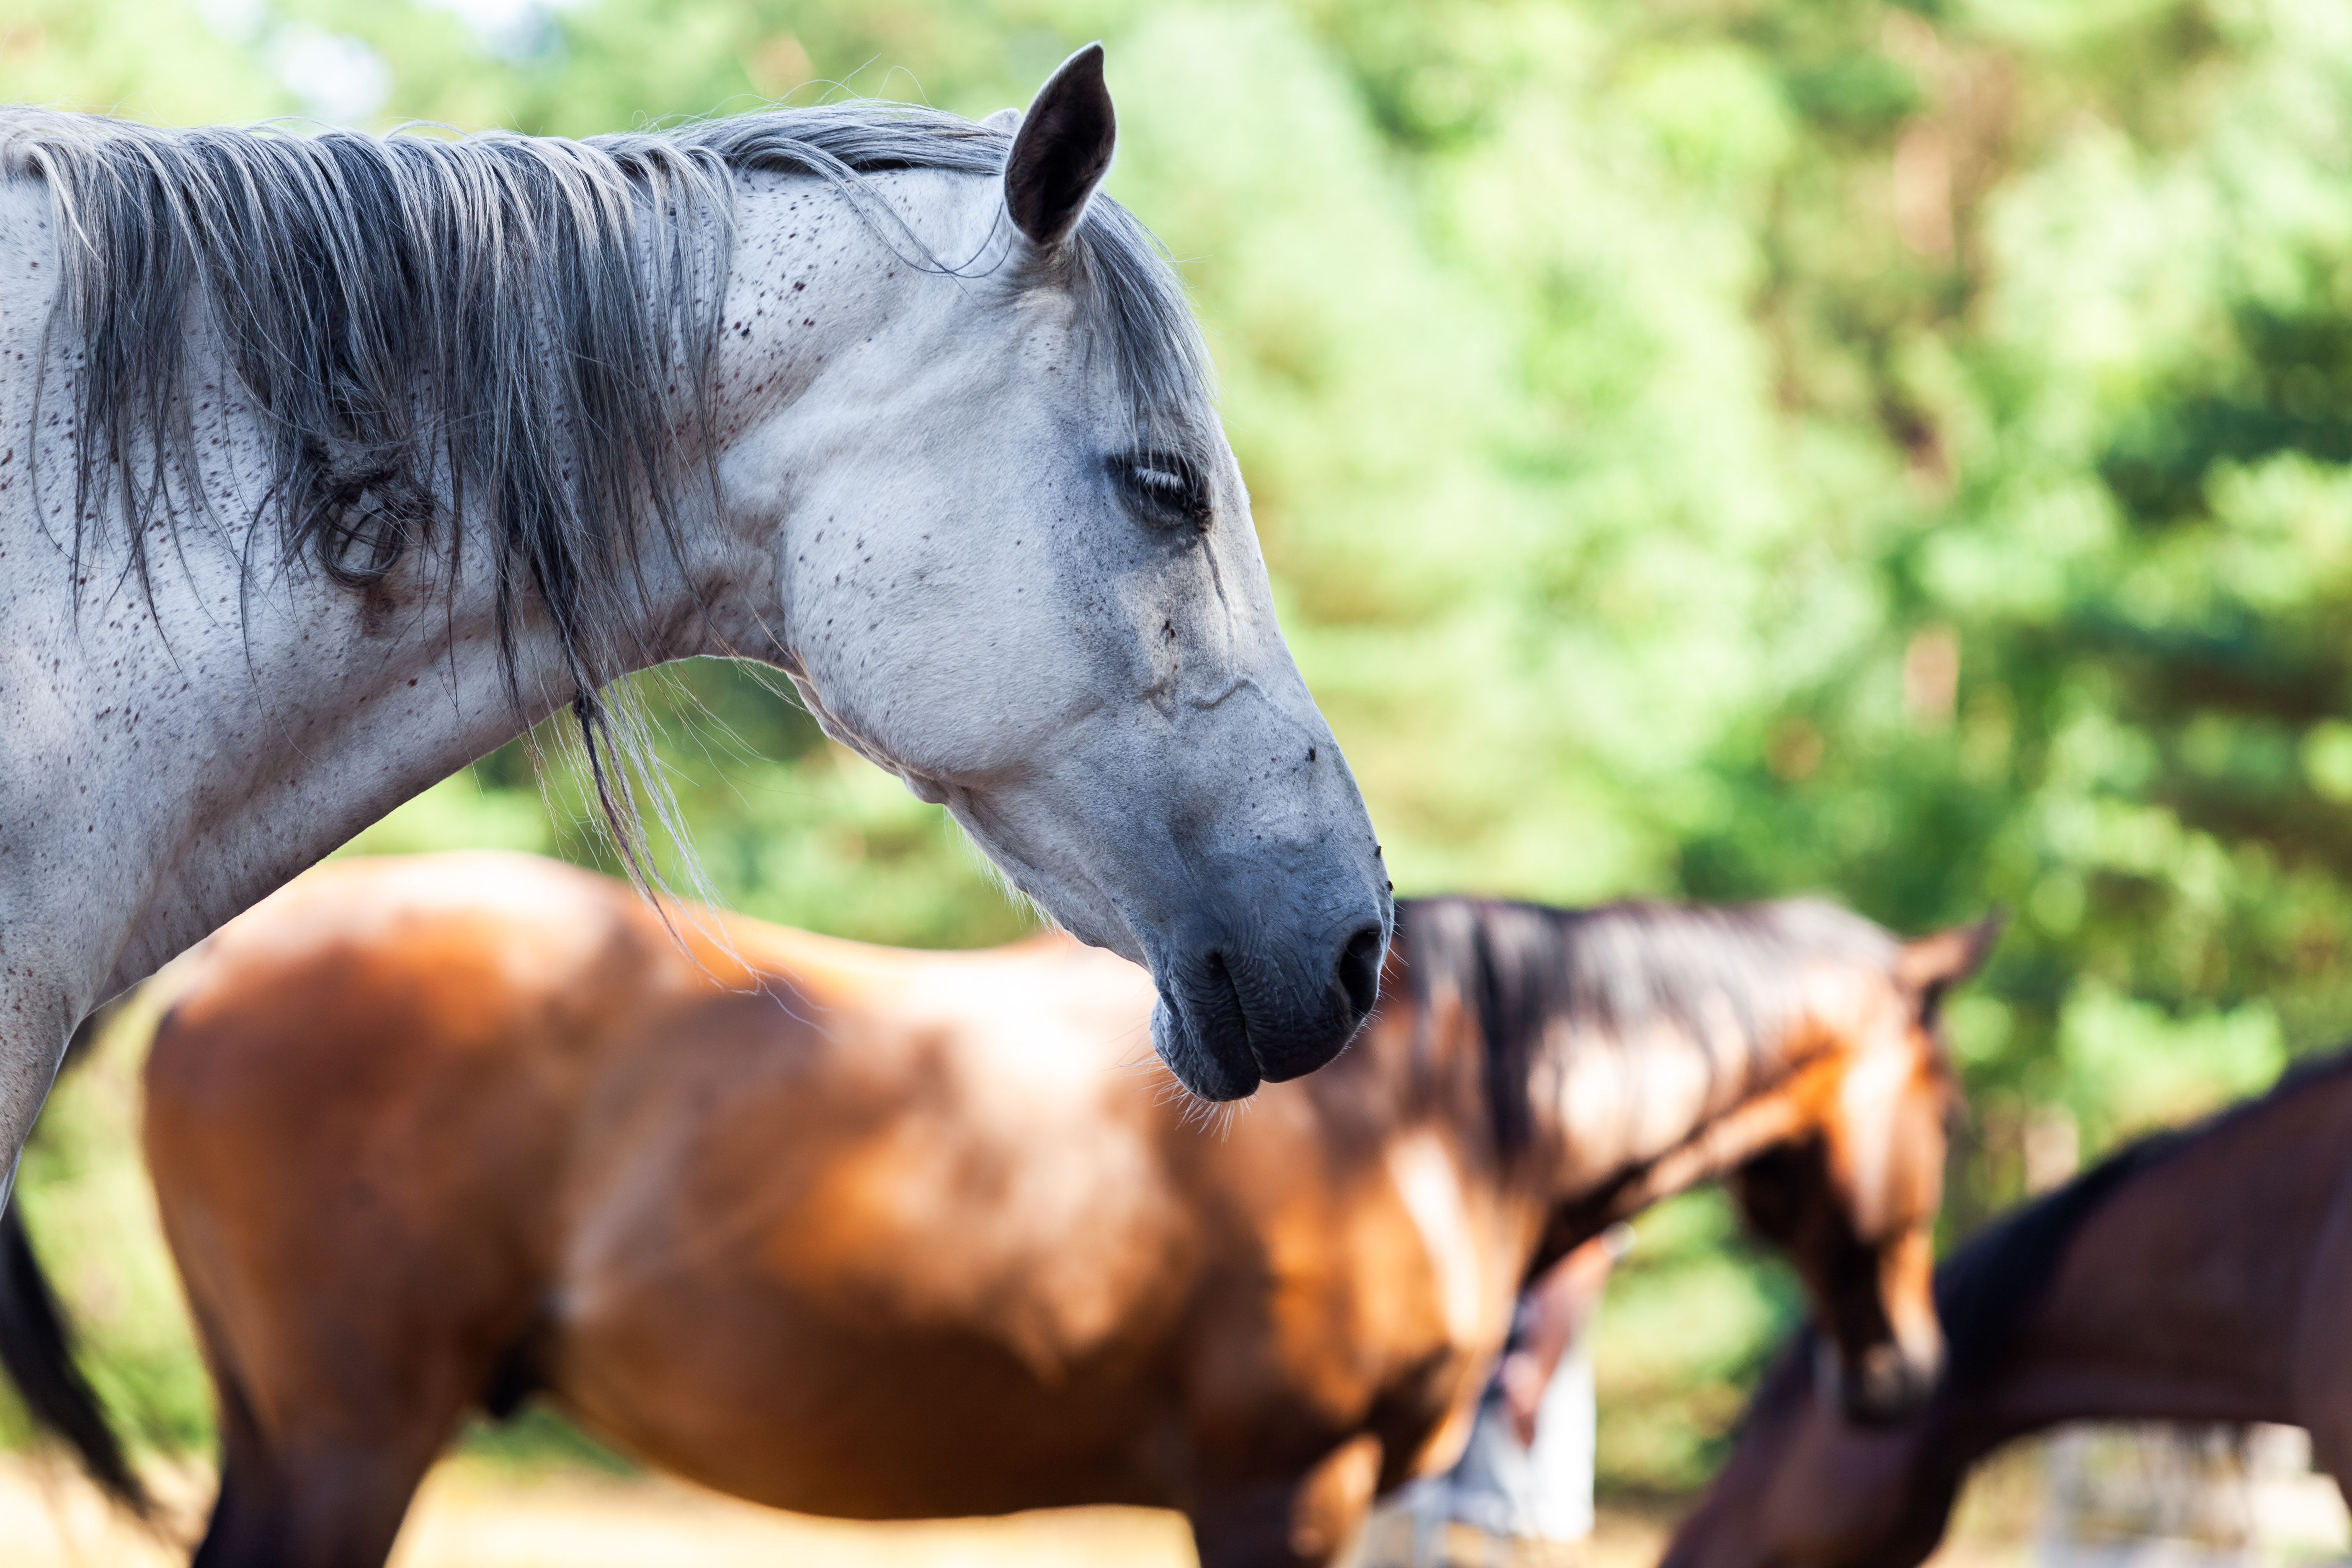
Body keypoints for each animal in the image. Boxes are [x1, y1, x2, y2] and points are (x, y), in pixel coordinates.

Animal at [4, 860, 1985, 1568]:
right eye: (1951, 1103)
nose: (1905, 1366)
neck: (1427, 1105)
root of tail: (220, 967)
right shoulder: (1282, 1492)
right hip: (355, 1439)